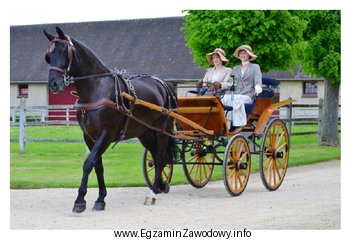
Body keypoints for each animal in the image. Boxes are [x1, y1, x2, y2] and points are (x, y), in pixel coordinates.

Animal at [44, 27, 179, 213]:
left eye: (65, 51)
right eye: (48, 56)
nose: (54, 84)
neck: (97, 90)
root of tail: (164, 84)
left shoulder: (106, 135)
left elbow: (88, 163)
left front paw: (80, 200)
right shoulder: (89, 137)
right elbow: (98, 166)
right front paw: (100, 199)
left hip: (162, 130)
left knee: (159, 158)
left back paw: (152, 193)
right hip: (144, 132)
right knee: (154, 154)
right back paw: (160, 185)